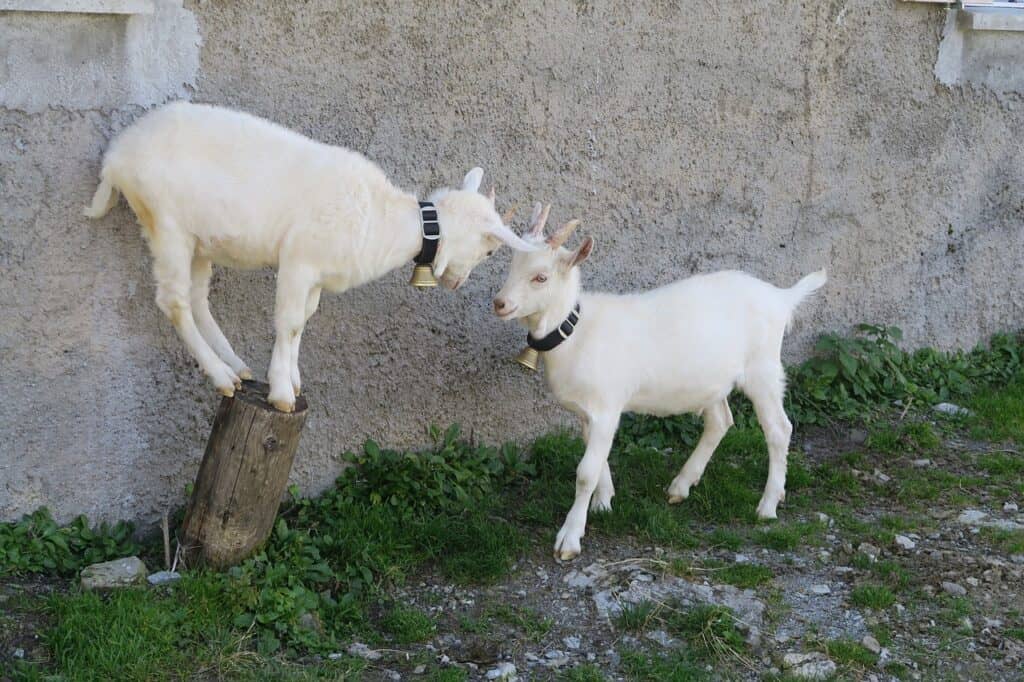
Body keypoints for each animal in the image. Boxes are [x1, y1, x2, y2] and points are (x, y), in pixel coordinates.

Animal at [85, 101, 535, 412]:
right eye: (491, 248)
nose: (457, 283)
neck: (382, 218)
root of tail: (116, 157)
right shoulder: (298, 262)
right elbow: (286, 323)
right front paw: (283, 394)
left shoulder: (317, 274)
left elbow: (302, 323)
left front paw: (293, 379)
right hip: (166, 223)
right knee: (174, 301)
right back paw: (222, 377)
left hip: (199, 240)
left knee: (197, 299)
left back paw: (236, 366)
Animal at [493, 204, 827, 560]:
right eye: (511, 264)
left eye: (541, 277)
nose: (500, 303)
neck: (577, 331)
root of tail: (781, 298)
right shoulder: (589, 412)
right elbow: (599, 461)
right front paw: (603, 503)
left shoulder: (606, 405)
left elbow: (585, 473)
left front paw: (569, 539)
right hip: (713, 379)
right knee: (721, 421)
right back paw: (681, 486)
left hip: (763, 369)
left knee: (779, 429)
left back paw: (767, 505)